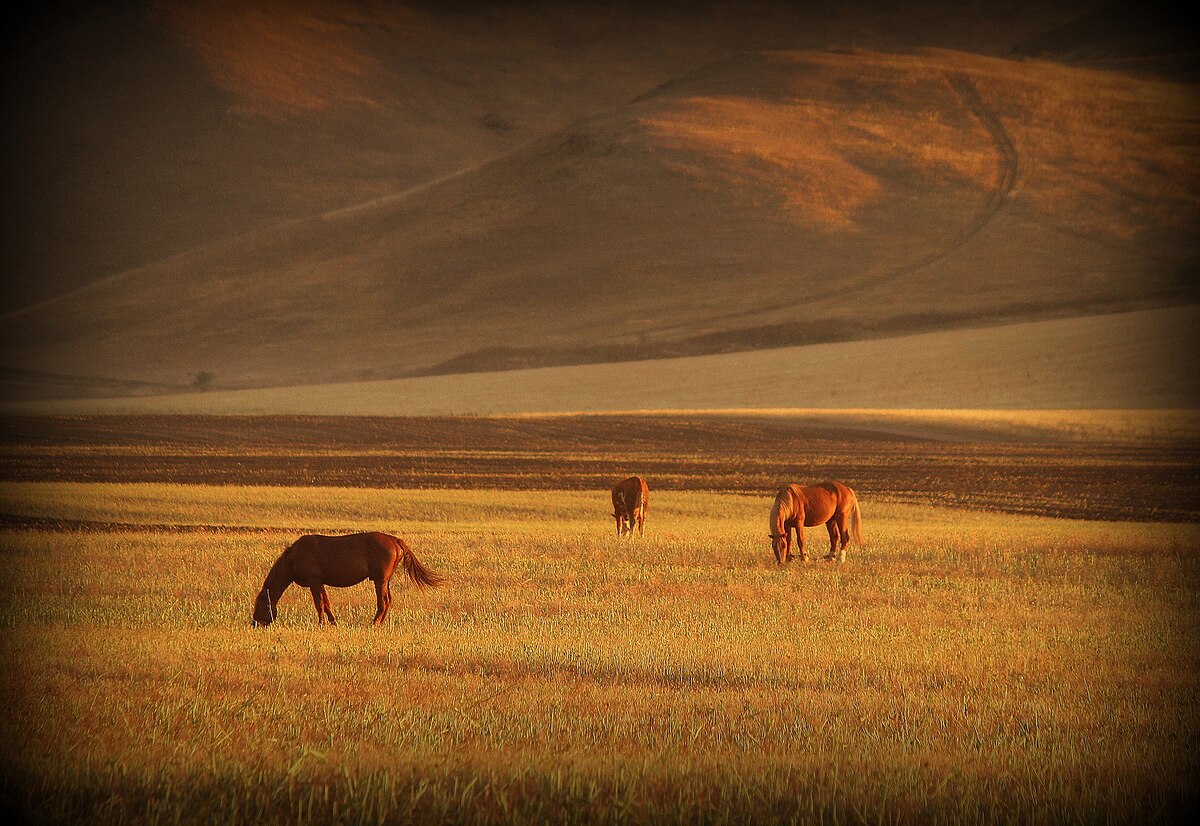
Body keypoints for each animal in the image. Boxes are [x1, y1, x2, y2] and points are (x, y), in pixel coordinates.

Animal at [250, 535, 444, 624]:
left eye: (259, 605)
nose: (255, 624)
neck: (292, 558)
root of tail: (395, 540)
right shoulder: (320, 582)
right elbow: (326, 603)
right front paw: (333, 622)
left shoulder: (313, 581)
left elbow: (319, 604)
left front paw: (320, 624)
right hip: (385, 580)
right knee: (388, 601)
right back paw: (380, 623)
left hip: (380, 580)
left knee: (382, 602)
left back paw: (374, 623)